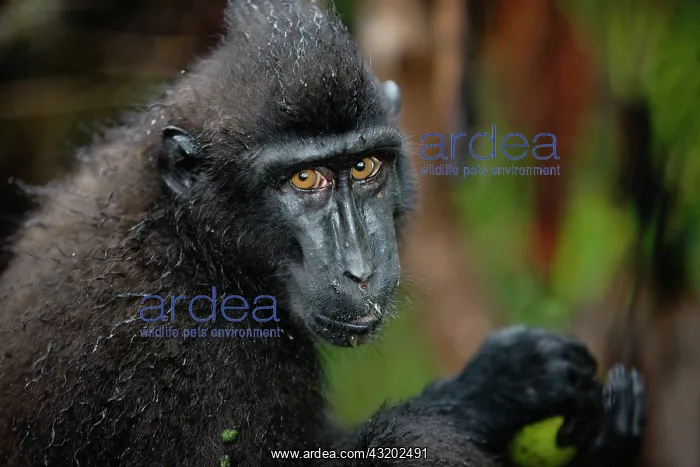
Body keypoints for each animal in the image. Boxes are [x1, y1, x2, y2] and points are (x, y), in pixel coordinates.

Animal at [0, 1, 645, 466]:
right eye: (303, 178)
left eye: (363, 167)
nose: (359, 269)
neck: (190, 239)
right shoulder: (187, 349)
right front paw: (497, 385)